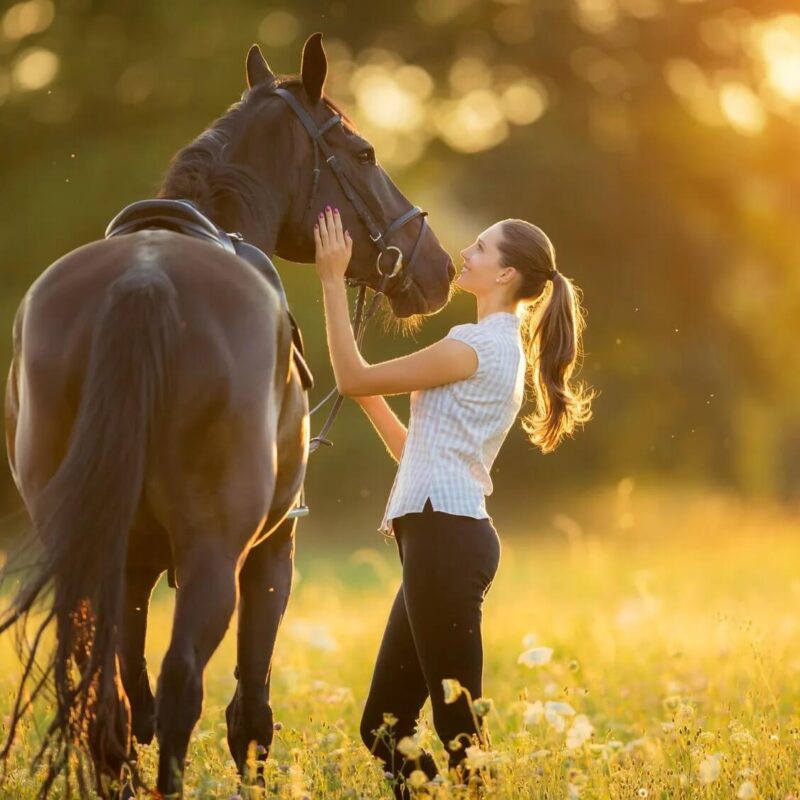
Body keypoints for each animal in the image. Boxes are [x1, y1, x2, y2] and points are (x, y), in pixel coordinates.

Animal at [1, 34, 456, 796]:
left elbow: (130, 696)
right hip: (214, 556)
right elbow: (249, 712)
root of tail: (143, 281)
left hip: (86, 553)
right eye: (363, 152)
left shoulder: (130, 569)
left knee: (105, 703)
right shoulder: (272, 553)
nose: (439, 268)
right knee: (183, 684)